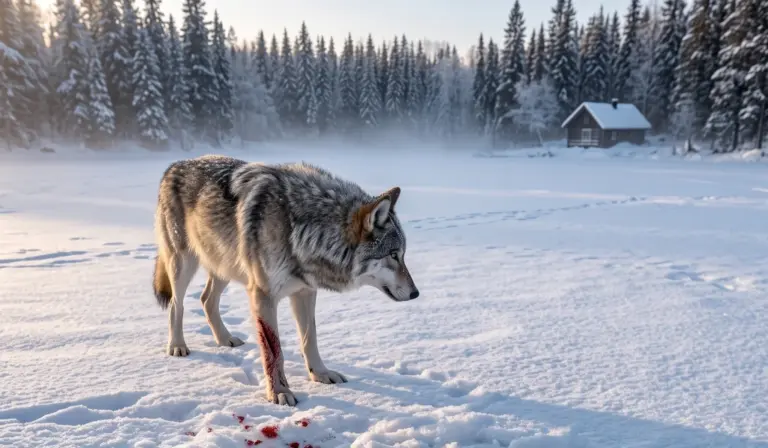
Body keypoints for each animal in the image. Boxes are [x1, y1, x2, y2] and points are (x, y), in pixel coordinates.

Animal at [152, 155, 419, 406]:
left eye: (403, 254)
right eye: (393, 255)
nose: (416, 293)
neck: (302, 230)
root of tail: (176, 164)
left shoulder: (305, 292)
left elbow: (310, 338)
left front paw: (320, 374)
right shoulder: (263, 296)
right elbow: (274, 351)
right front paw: (279, 393)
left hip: (225, 265)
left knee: (207, 300)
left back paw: (224, 339)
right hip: (183, 263)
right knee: (177, 305)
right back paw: (177, 345)